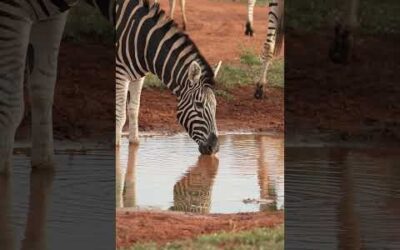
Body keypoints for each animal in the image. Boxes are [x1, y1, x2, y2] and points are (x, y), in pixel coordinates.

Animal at [115, 0, 222, 155]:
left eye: (215, 105)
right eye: (199, 105)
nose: (214, 148)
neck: (144, 41)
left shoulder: (138, 76)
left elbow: (134, 109)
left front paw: (134, 143)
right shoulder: (120, 72)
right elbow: (120, 115)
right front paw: (116, 147)